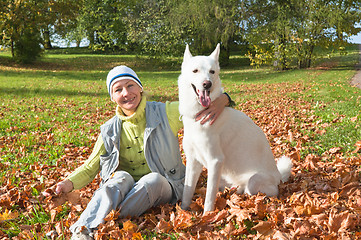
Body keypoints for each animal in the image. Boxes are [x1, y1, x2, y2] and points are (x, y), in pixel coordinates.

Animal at [178, 44, 292, 213]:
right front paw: (183, 211)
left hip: (253, 181)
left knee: (262, 191)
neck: (199, 115)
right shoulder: (193, 161)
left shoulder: (215, 161)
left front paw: (206, 216)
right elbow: (187, 191)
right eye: (195, 71)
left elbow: (209, 198)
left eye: (212, 72)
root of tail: (279, 177)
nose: (207, 84)